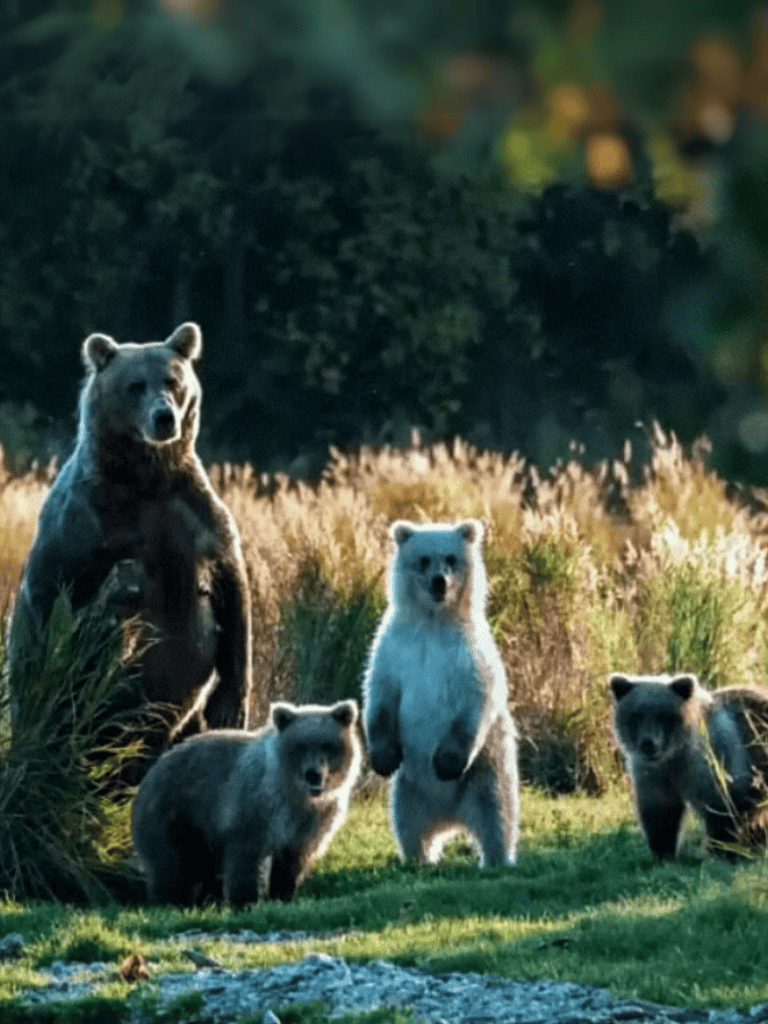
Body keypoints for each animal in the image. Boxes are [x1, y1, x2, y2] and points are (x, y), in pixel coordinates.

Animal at [9, 322, 252, 758]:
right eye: (135, 385)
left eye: (172, 381)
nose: (164, 418)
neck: (145, 478)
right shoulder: (83, 525)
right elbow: (61, 605)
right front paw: (126, 585)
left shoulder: (194, 515)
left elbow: (232, 590)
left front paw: (229, 706)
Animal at [131, 698, 363, 905]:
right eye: (301, 746)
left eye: (327, 745)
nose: (313, 774)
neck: (297, 796)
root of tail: (148, 776)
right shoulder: (253, 810)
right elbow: (245, 859)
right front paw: (246, 901)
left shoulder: (311, 823)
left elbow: (292, 863)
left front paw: (284, 895)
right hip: (175, 814)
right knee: (173, 866)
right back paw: (172, 901)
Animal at [363, 519, 519, 867]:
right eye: (423, 560)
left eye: (450, 558)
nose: (439, 582)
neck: (434, 621)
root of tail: (451, 818)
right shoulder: (395, 648)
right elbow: (380, 695)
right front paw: (383, 757)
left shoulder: (469, 655)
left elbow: (478, 699)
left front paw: (446, 762)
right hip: (409, 791)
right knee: (408, 826)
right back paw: (419, 859)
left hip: (485, 774)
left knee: (496, 817)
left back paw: (495, 859)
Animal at [609, 672, 768, 858]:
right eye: (636, 715)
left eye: (664, 715)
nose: (648, 744)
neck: (673, 756)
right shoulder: (652, 775)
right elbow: (660, 814)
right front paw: (662, 853)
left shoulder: (715, 764)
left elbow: (723, 811)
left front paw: (720, 850)